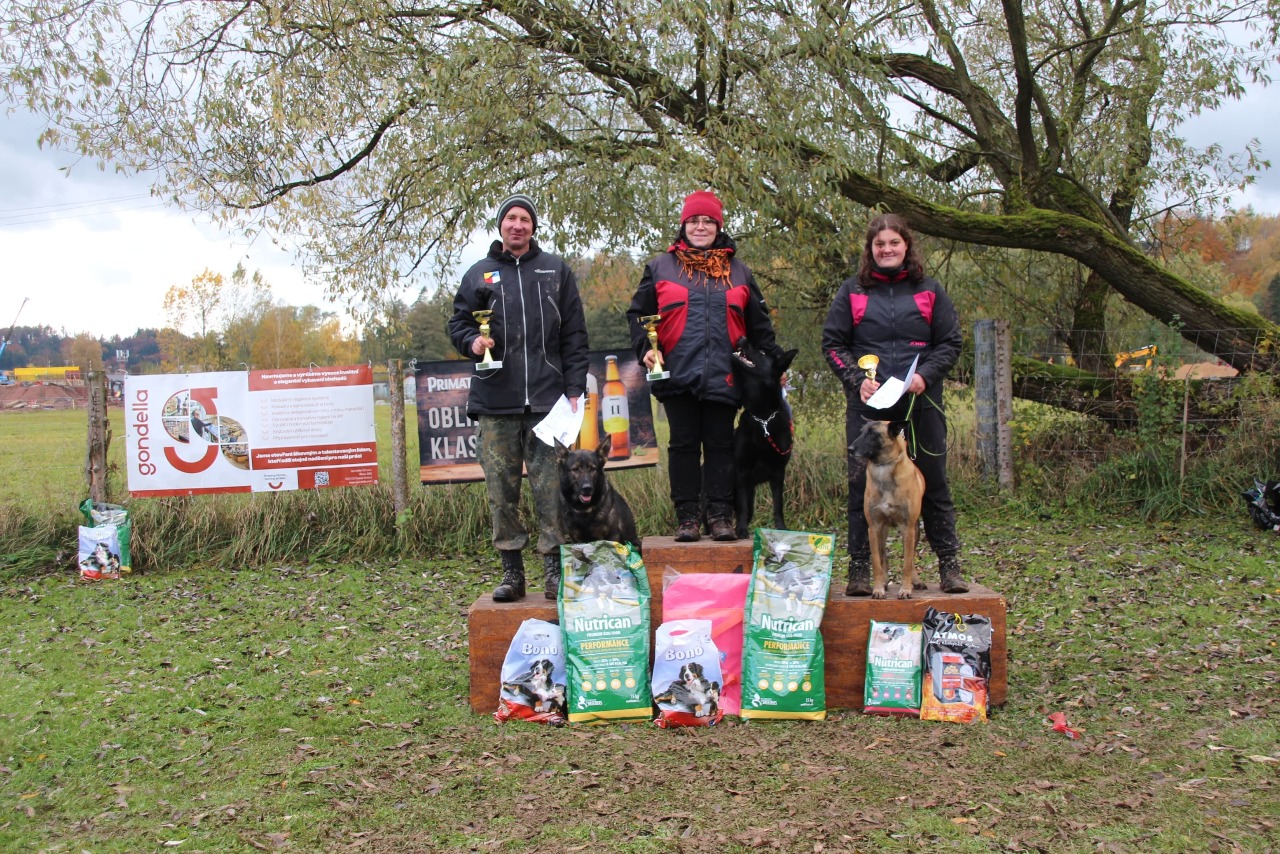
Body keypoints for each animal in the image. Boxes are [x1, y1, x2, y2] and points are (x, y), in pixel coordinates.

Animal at [731, 337, 800, 538]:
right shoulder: (741, 472)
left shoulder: (778, 472)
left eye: (761, 353)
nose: (741, 338)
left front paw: (781, 528)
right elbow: (742, 507)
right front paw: (741, 530)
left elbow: (778, 505)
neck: (763, 417)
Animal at [849, 419, 926, 600]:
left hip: (915, 531)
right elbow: (877, 563)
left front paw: (905, 589)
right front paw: (878, 589)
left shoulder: (907, 528)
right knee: (884, 556)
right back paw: (884, 582)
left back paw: (915, 581)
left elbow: (907, 563)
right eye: (861, 431)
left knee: (910, 556)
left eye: (873, 433)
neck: (884, 468)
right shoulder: (873, 527)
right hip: (882, 533)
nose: (850, 448)